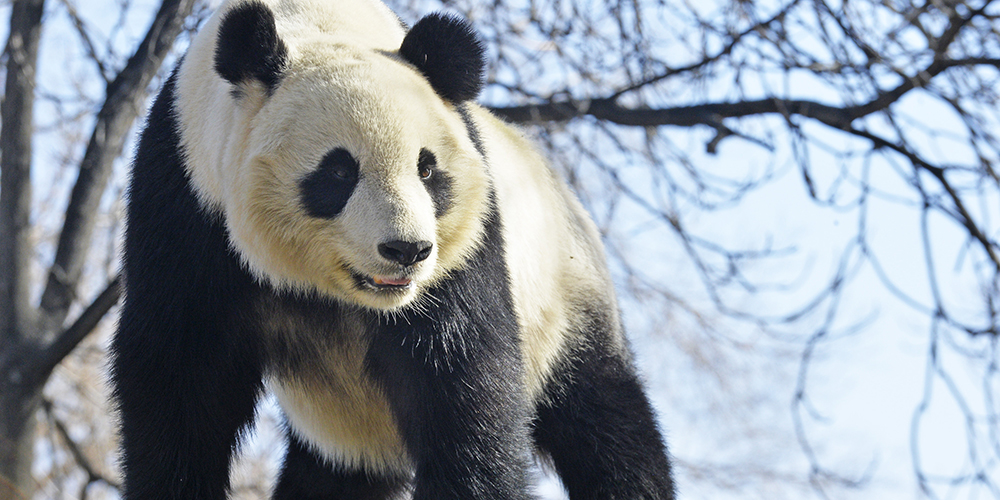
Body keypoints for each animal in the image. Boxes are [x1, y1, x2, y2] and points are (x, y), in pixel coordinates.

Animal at [109, 0, 676, 498]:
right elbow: (180, 378)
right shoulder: (187, 204)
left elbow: (466, 385)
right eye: (339, 170)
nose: (407, 250)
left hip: (562, 299)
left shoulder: (465, 253)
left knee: (607, 422)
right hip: (344, 428)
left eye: (427, 169)